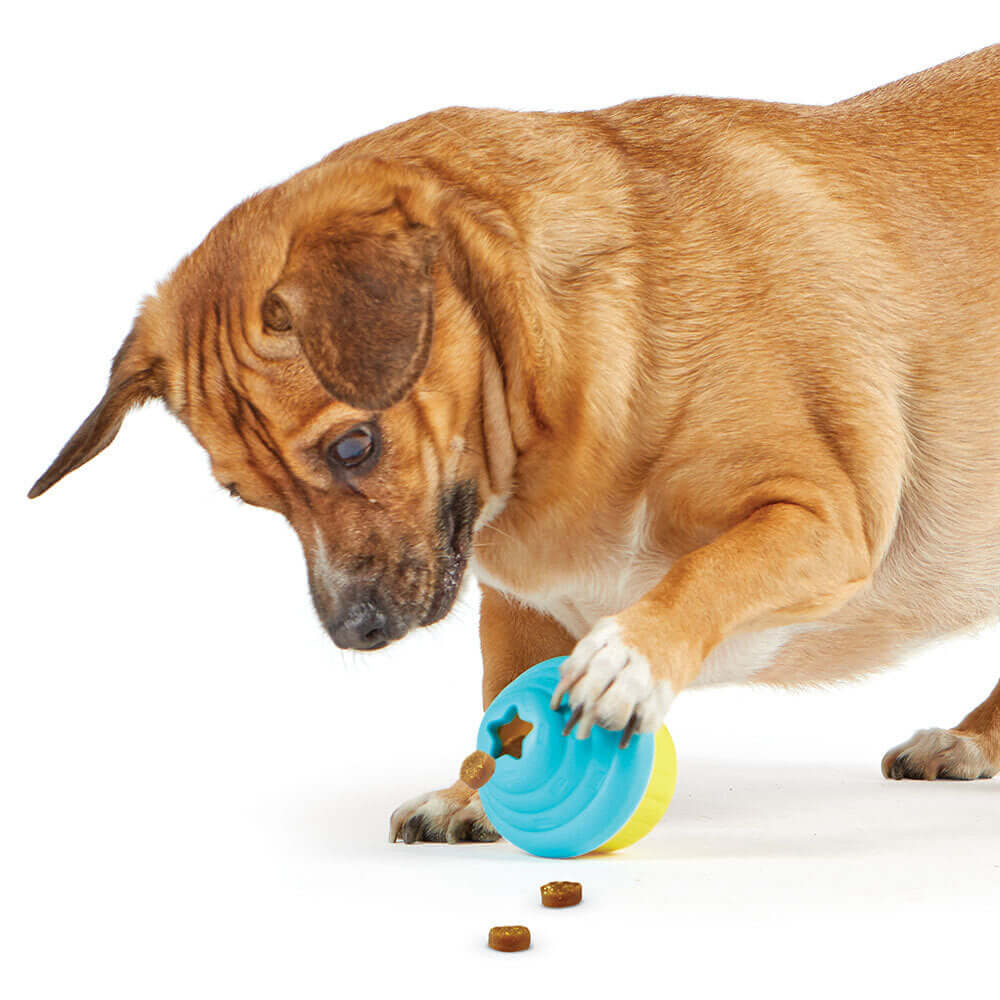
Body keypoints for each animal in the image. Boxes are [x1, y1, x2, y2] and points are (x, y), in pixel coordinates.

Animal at [27, 45, 996, 844]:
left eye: (353, 448)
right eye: (243, 496)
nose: (354, 632)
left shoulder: (826, 518)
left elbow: (706, 571)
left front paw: (631, 658)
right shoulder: (517, 604)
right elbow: (498, 701)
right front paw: (473, 793)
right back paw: (974, 739)